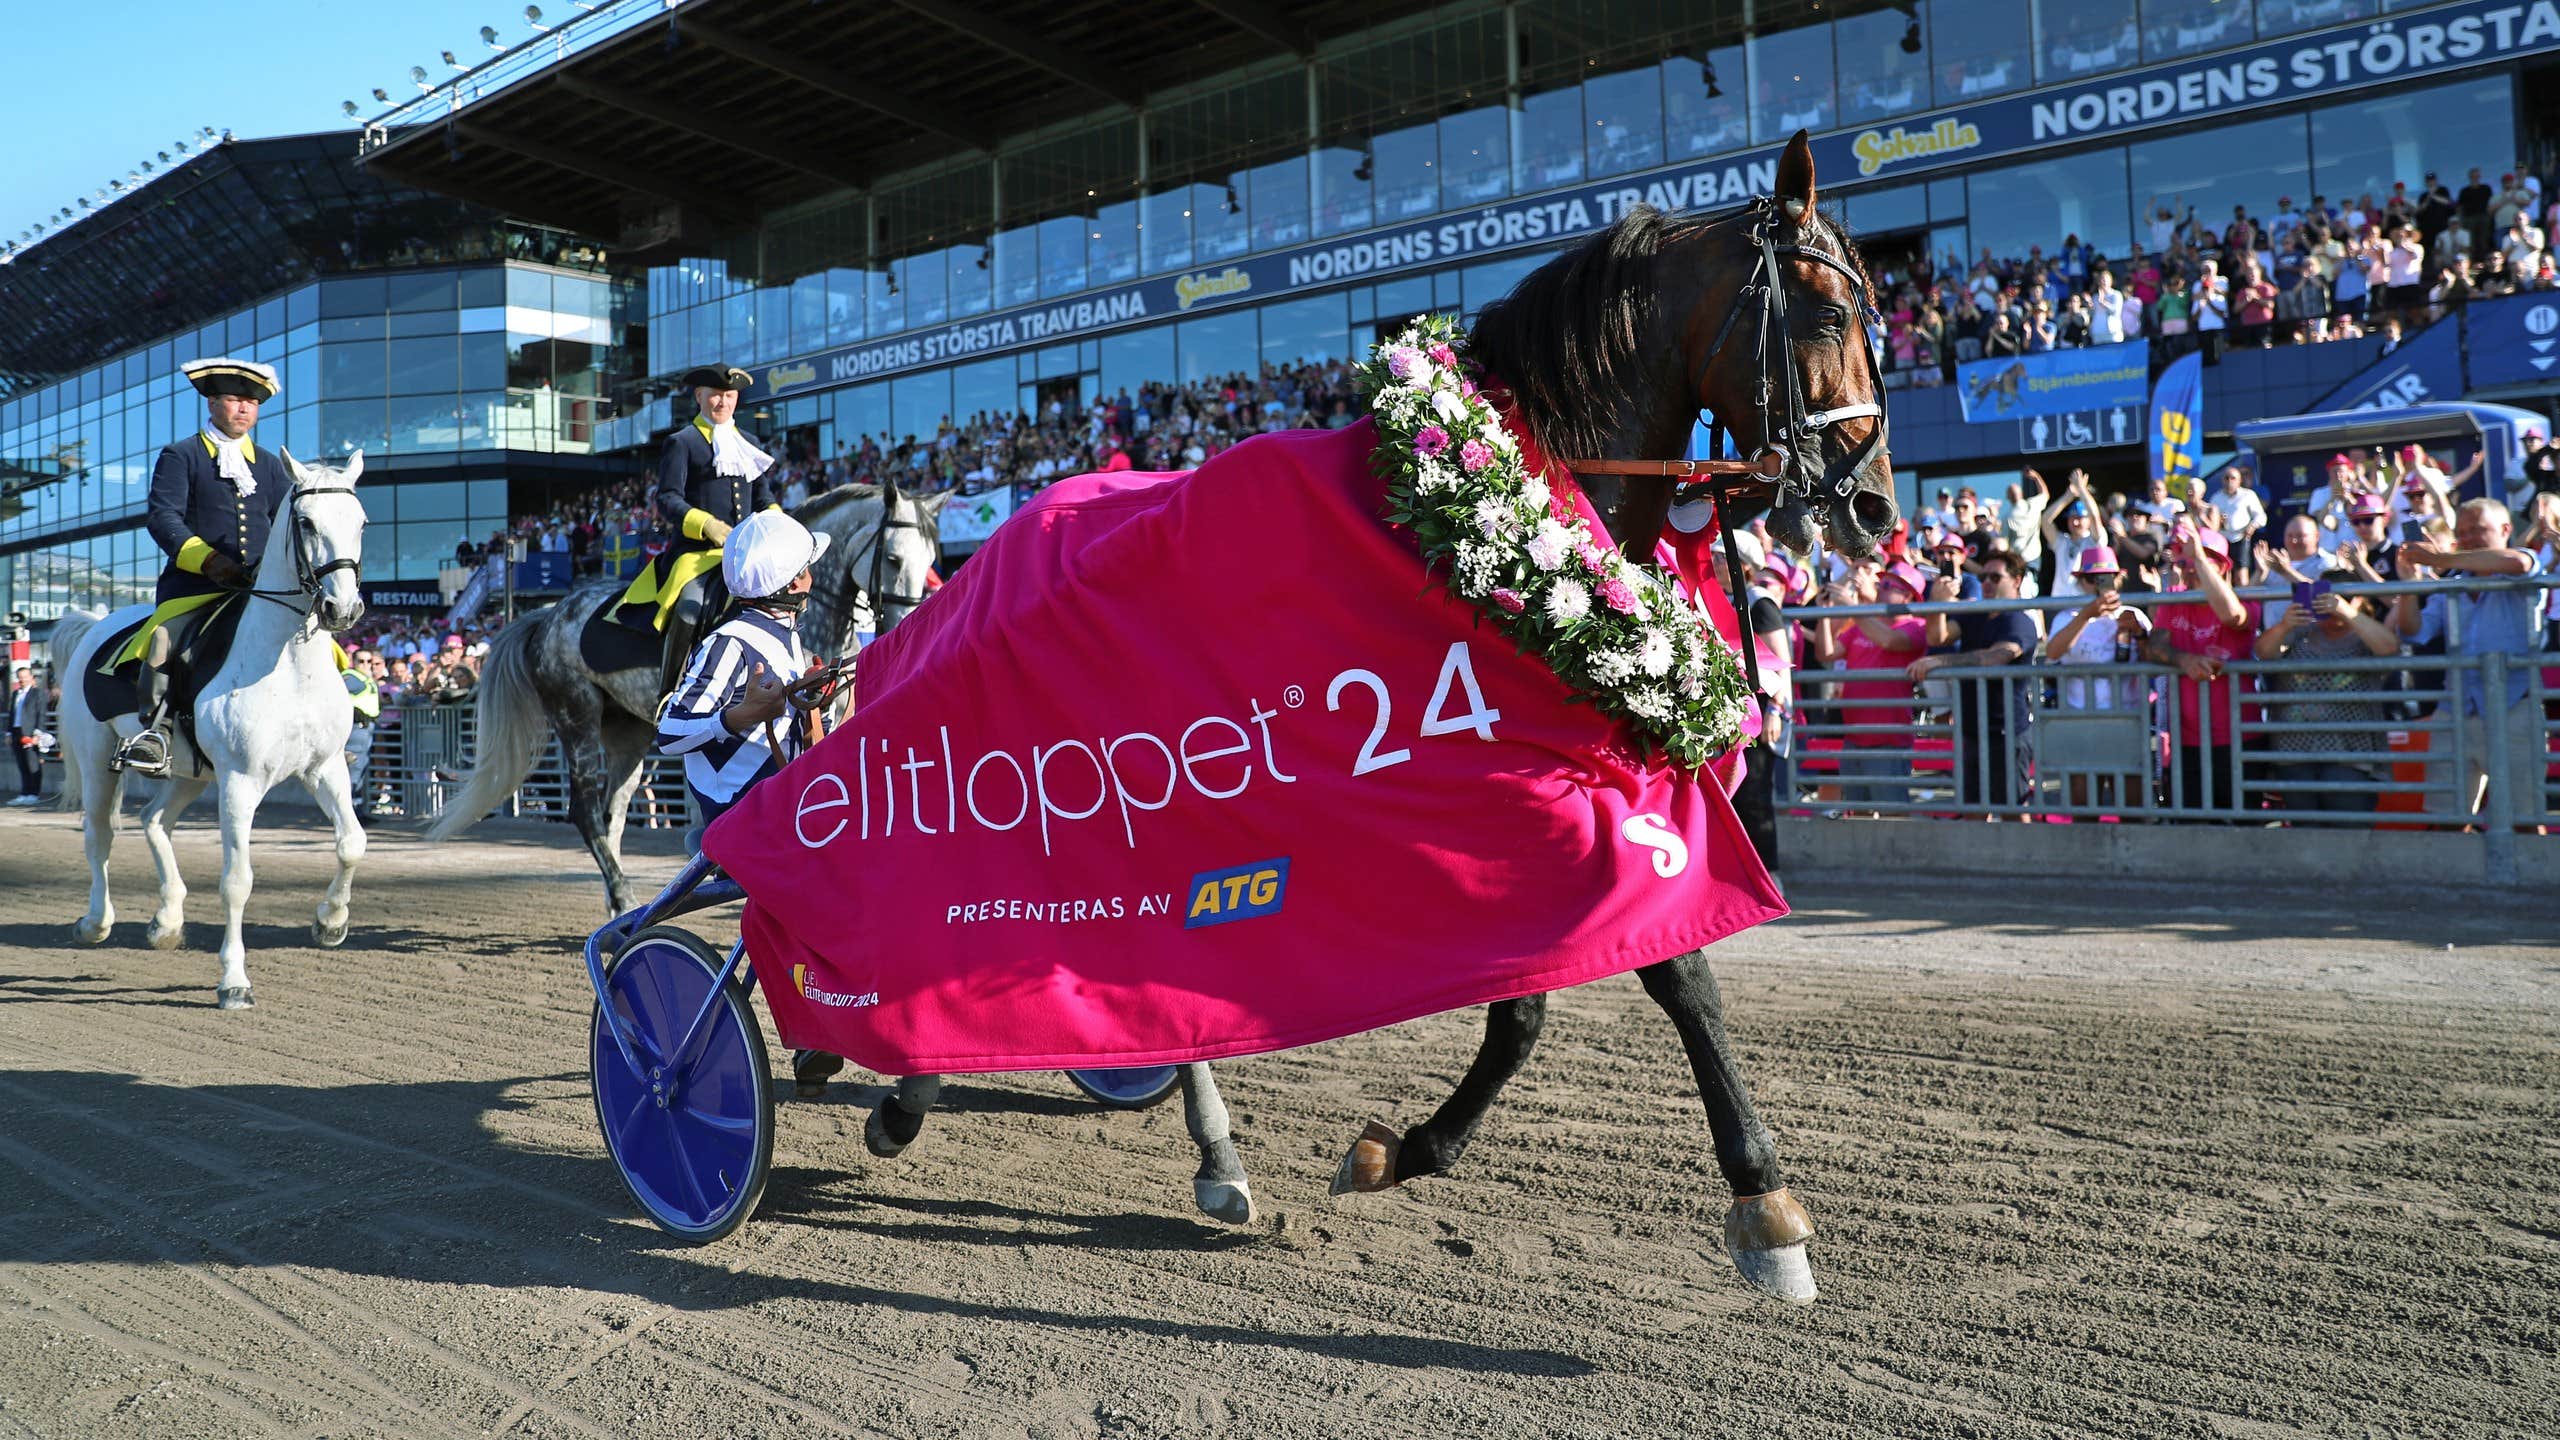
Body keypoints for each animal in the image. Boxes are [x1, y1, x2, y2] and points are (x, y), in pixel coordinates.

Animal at [52, 453, 371, 1004]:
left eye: (362, 523)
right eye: (307, 523)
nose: (343, 609)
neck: (288, 665)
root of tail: (95, 623)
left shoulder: (325, 768)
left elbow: (351, 843)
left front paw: (330, 922)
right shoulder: (241, 782)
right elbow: (237, 880)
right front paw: (234, 981)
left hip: (191, 773)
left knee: (154, 821)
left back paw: (167, 921)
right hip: (98, 762)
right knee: (100, 834)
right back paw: (95, 922)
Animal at [1331, 131, 1894, 1301]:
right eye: (1827, 315)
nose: (1875, 507)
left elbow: (1531, 999)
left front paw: (1416, 1146)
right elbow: (1678, 973)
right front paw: (1764, 1199)